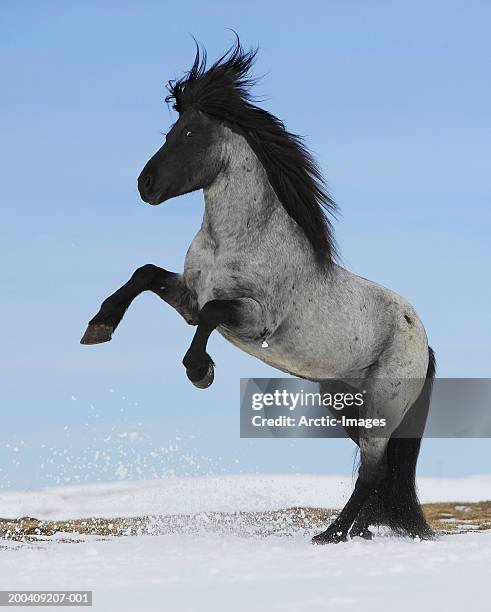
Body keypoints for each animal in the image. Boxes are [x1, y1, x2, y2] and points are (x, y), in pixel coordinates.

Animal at [81, 39, 438, 544]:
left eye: (188, 133)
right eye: (171, 130)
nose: (144, 185)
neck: (237, 239)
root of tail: (422, 339)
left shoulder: (254, 319)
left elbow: (212, 313)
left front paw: (200, 371)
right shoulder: (188, 297)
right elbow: (145, 275)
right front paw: (99, 326)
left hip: (380, 410)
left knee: (372, 473)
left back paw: (331, 535)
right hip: (346, 406)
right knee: (382, 473)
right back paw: (355, 532)